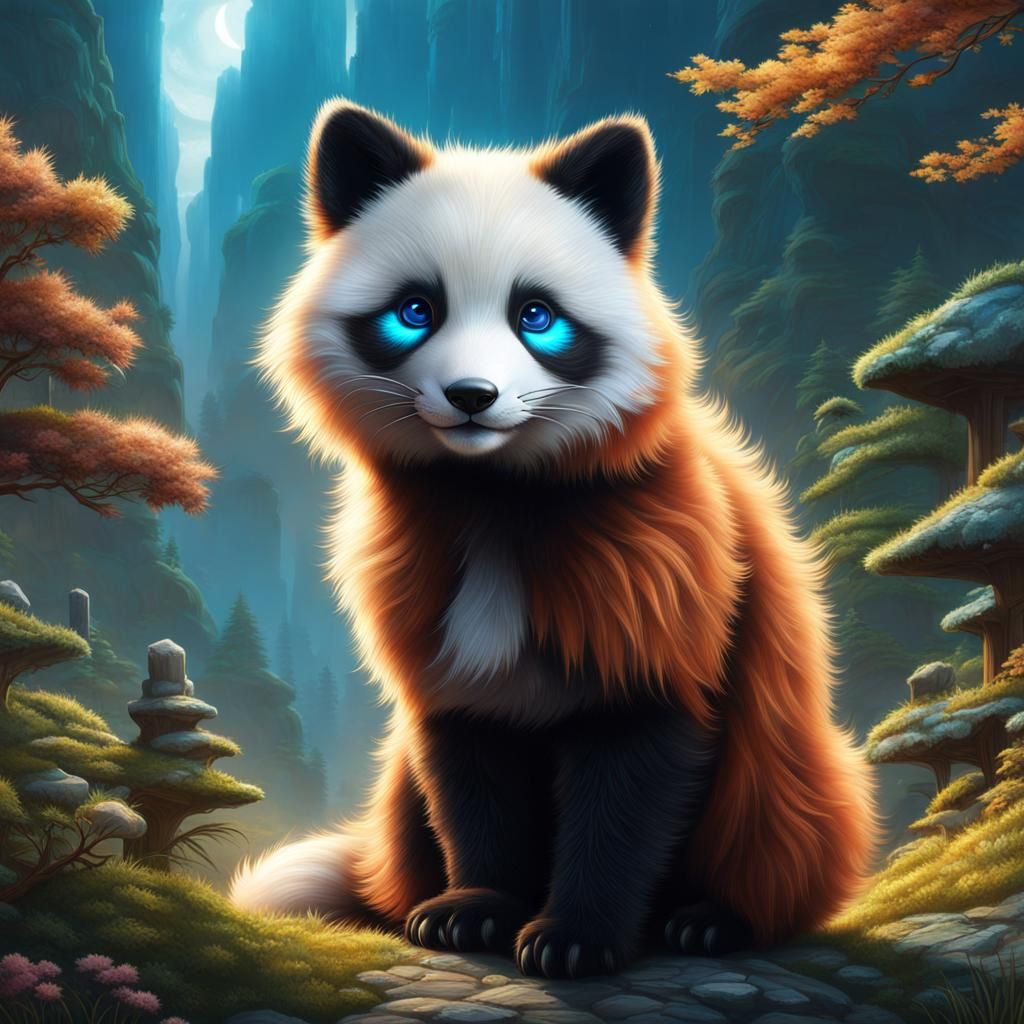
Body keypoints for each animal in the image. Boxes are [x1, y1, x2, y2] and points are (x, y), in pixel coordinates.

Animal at [230, 100, 875, 978]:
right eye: (415, 311)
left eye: (534, 316)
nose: (472, 396)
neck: (496, 498)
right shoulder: (429, 604)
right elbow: (472, 775)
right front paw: (476, 910)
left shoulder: (660, 566)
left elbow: (634, 765)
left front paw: (576, 937)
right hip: (395, 800)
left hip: (787, 767)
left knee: (786, 826)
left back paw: (713, 920)